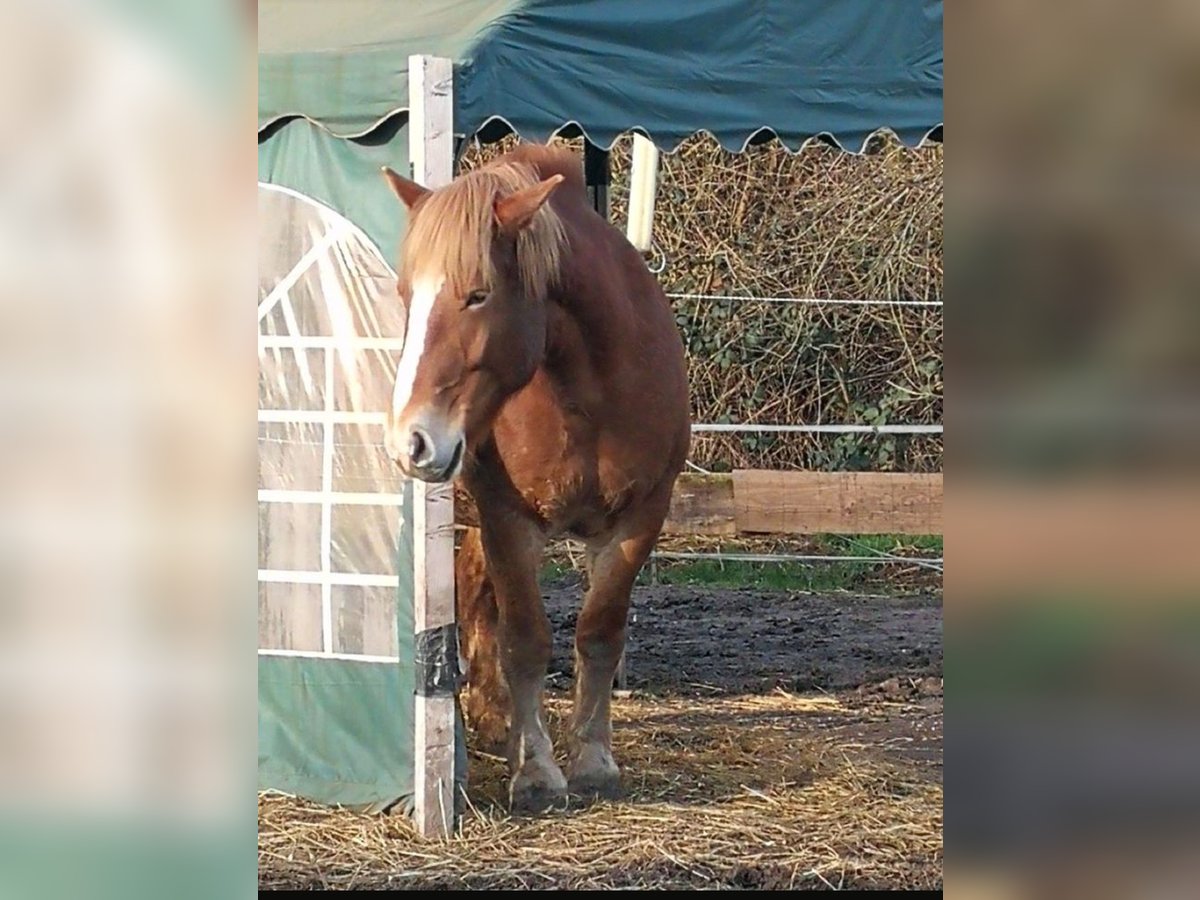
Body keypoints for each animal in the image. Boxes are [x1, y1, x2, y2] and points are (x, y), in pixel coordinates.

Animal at [379, 144, 691, 816]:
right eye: (406, 292)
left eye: (477, 294)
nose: (411, 440)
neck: (589, 393)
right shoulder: (508, 521)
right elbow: (524, 637)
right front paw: (538, 771)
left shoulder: (640, 517)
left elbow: (599, 632)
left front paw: (594, 761)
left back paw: (493, 720)